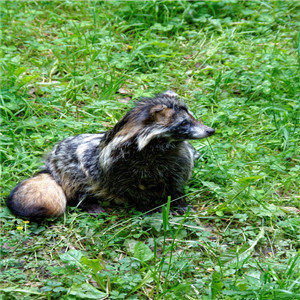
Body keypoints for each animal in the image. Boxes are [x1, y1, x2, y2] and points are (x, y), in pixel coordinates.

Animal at [6, 90, 213, 219]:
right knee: (78, 188)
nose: (211, 130)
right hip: (71, 171)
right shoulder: (119, 166)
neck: (161, 146)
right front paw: (148, 207)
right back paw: (89, 203)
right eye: (184, 123)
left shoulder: (178, 159)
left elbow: (176, 183)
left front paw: (179, 201)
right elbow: (131, 188)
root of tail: (51, 165)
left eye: (193, 118)